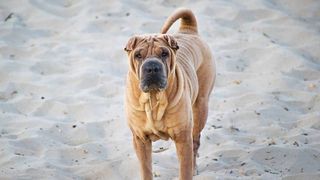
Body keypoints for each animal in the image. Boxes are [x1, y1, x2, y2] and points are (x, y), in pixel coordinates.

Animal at [124, 8, 216, 180]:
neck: (154, 99)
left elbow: (185, 170)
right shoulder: (140, 140)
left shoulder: (183, 138)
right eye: (138, 55)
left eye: (164, 53)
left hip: (200, 107)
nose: (152, 67)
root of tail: (188, 29)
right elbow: (146, 169)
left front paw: (189, 170)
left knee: (195, 141)